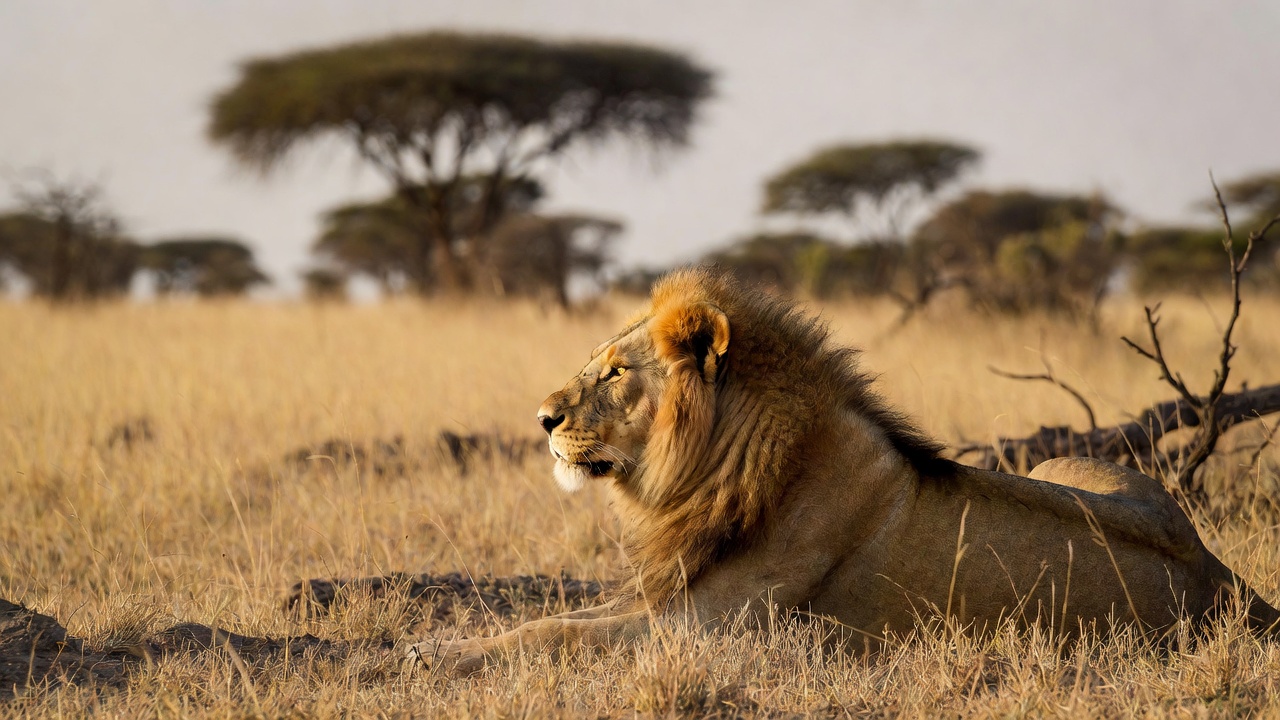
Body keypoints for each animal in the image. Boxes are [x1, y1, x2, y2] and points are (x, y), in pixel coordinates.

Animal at [408, 267, 1279, 674]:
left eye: (617, 373)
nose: (542, 420)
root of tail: (1225, 580)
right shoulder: (664, 594)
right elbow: (557, 618)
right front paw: (441, 643)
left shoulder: (710, 629)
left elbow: (554, 633)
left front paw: (434, 656)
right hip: (1082, 463)